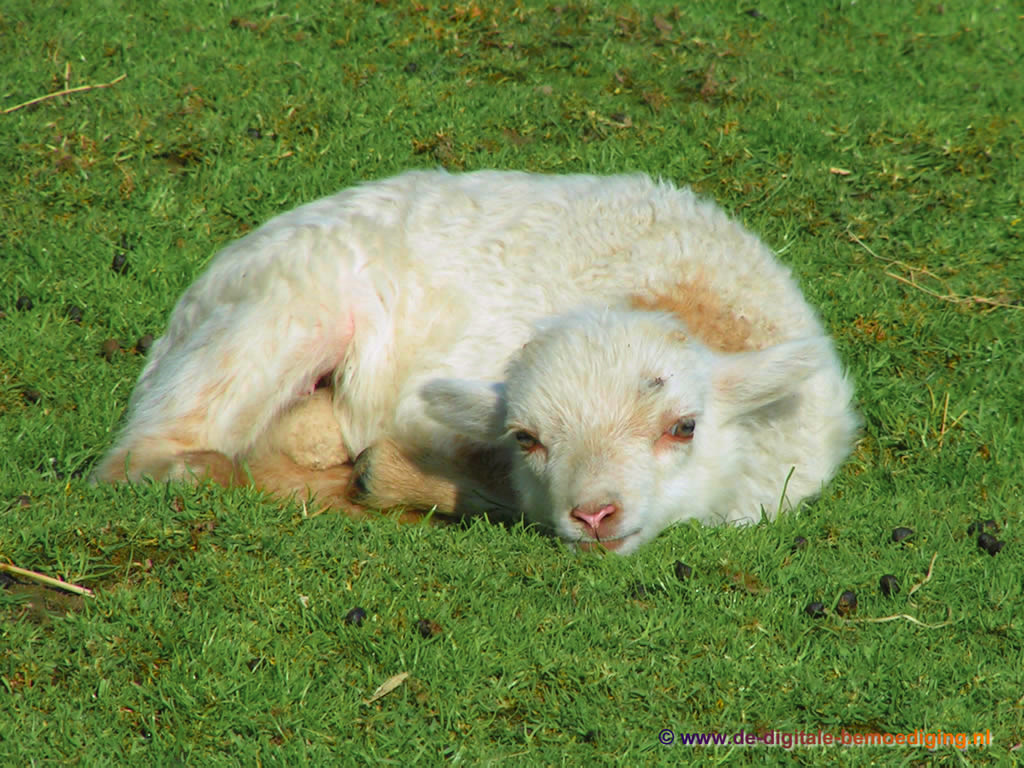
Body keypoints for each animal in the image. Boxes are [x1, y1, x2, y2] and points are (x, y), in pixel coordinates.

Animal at [94, 169, 856, 552]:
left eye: (684, 427)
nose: (594, 515)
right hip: (271, 321)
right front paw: (385, 477)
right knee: (145, 458)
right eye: (527, 438)